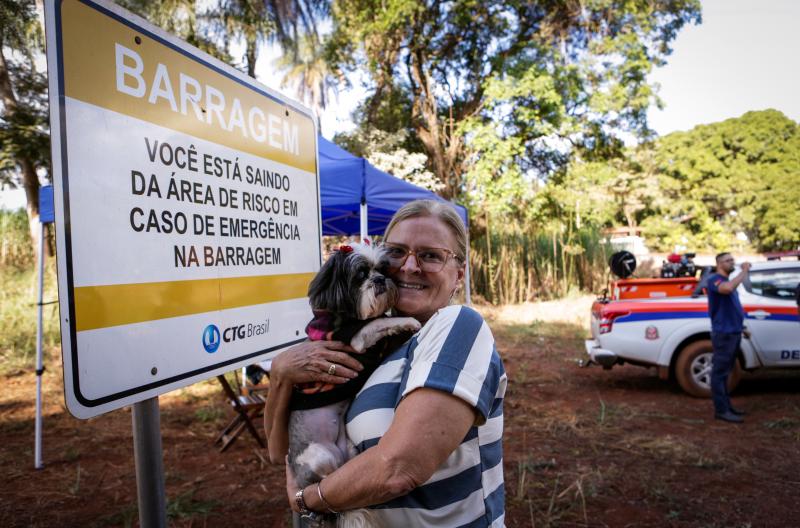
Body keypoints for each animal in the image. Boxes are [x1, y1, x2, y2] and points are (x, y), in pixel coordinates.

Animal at [290, 243, 422, 528]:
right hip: (321, 456)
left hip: (348, 448)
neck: (343, 317)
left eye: (383, 269)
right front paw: (409, 322)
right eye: (360, 274)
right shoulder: (357, 338)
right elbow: (379, 321)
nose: (380, 279)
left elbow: (380, 321)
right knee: (328, 479)